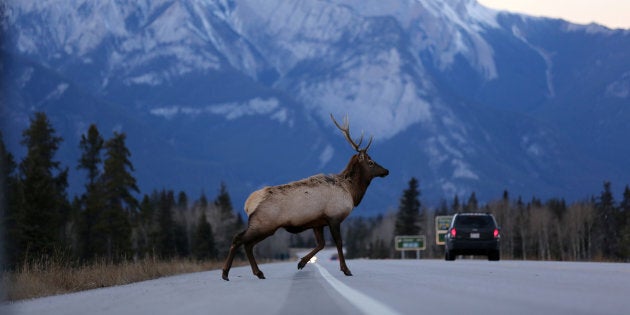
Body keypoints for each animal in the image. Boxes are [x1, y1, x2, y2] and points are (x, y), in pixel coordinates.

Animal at [222, 114, 390, 282]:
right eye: (371, 162)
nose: (386, 171)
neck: (351, 192)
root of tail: (248, 204)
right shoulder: (334, 217)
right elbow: (338, 242)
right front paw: (346, 270)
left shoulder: (318, 222)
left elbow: (321, 244)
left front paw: (301, 262)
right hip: (264, 224)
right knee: (239, 238)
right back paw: (225, 273)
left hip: (265, 226)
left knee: (248, 244)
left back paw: (258, 273)